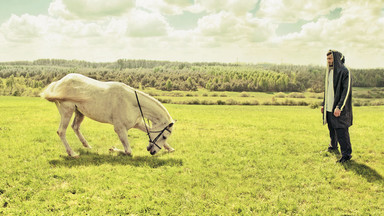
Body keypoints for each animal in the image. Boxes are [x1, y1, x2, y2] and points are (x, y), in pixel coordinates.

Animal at [41, 73, 176, 157]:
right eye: (164, 136)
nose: (152, 151)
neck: (131, 102)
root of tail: (58, 83)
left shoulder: (137, 123)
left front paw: (170, 149)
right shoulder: (120, 129)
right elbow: (128, 151)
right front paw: (113, 149)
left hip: (79, 112)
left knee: (75, 127)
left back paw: (87, 145)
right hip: (67, 111)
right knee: (61, 131)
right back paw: (72, 153)